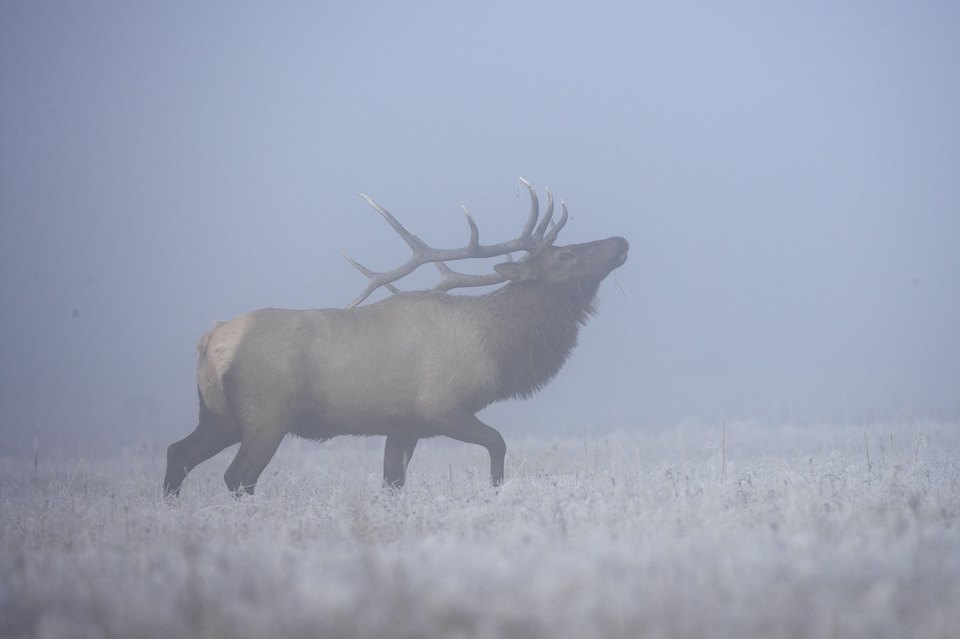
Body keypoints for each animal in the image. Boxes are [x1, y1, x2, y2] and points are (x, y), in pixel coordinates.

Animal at [163, 179, 632, 496]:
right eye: (566, 254)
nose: (621, 240)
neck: (498, 348)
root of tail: (209, 342)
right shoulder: (441, 409)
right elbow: (498, 444)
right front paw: (497, 492)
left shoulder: (403, 425)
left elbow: (392, 484)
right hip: (266, 412)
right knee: (238, 476)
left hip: (220, 414)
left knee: (177, 454)